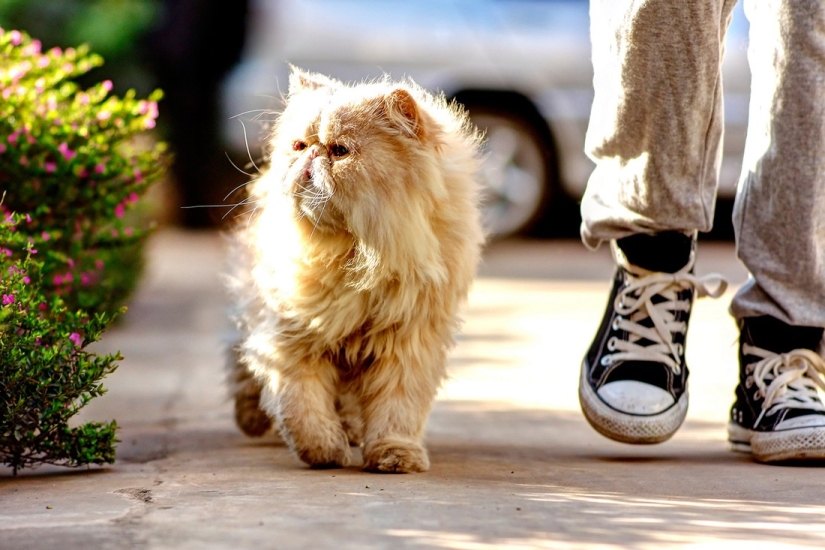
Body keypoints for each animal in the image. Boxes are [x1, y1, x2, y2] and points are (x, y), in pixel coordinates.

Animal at [225, 66, 482, 474]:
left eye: (339, 151)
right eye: (300, 146)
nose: (311, 156)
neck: (357, 256)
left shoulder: (407, 343)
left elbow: (397, 411)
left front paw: (394, 456)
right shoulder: (295, 335)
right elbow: (301, 405)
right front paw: (323, 451)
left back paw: (350, 430)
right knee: (241, 369)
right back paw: (253, 417)